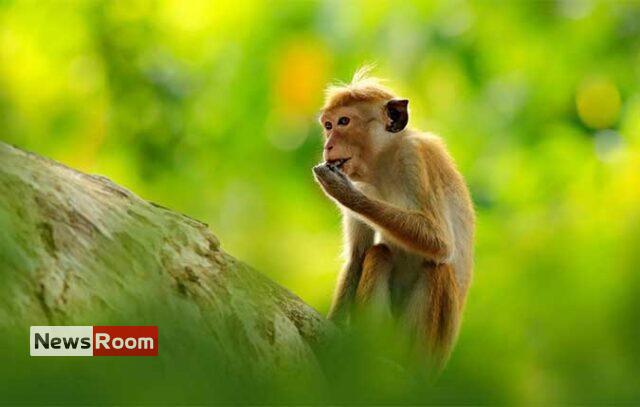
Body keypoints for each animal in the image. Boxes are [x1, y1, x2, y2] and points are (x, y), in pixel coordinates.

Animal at [312, 68, 475, 369]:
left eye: (343, 121)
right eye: (328, 125)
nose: (328, 145)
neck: (382, 165)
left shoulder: (415, 159)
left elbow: (441, 243)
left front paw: (345, 193)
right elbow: (358, 256)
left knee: (437, 268)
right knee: (379, 254)